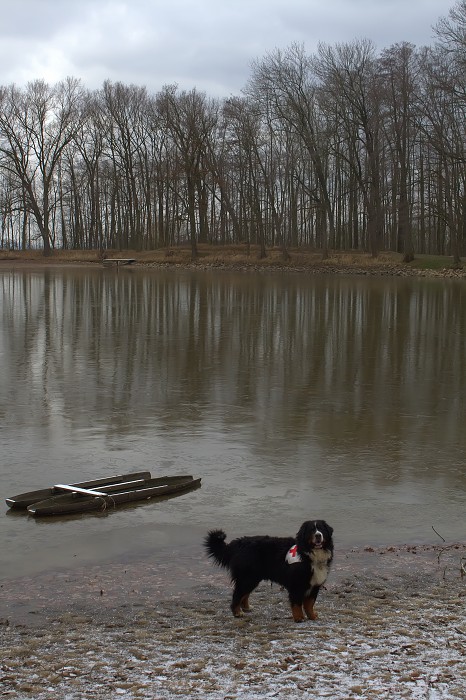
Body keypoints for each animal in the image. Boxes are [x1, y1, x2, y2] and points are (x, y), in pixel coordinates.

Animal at [206, 520, 334, 624]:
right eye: (311, 530)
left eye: (321, 529)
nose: (318, 535)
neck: (308, 554)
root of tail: (237, 543)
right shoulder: (297, 585)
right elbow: (297, 604)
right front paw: (299, 618)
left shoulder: (314, 585)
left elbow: (309, 604)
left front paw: (312, 616)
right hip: (247, 578)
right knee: (237, 595)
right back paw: (237, 612)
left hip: (252, 578)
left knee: (244, 594)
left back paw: (246, 608)